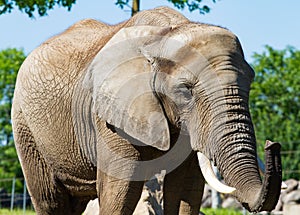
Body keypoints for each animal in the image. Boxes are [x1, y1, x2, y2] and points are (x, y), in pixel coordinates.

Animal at [11, 5, 282, 214]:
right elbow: (121, 192)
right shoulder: (111, 117)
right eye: (186, 90)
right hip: (25, 127)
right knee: (50, 200)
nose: (273, 144)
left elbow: (186, 188)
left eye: (251, 82)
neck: (163, 36)